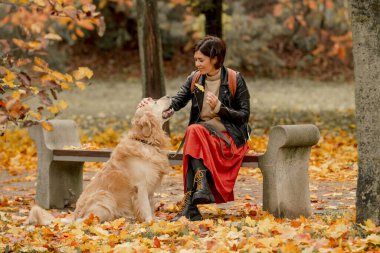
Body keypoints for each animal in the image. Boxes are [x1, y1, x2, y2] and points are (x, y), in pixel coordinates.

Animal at [27, 96, 175, 224]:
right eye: (155, 102)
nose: (169, 96)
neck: (146, 141)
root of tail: (74, 215)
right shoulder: (140, 186)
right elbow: (146, 207)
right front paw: (150, 222)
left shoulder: (151, 186)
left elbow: (151, 205)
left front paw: (156, 221)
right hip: (105, 196)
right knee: (86, 221)